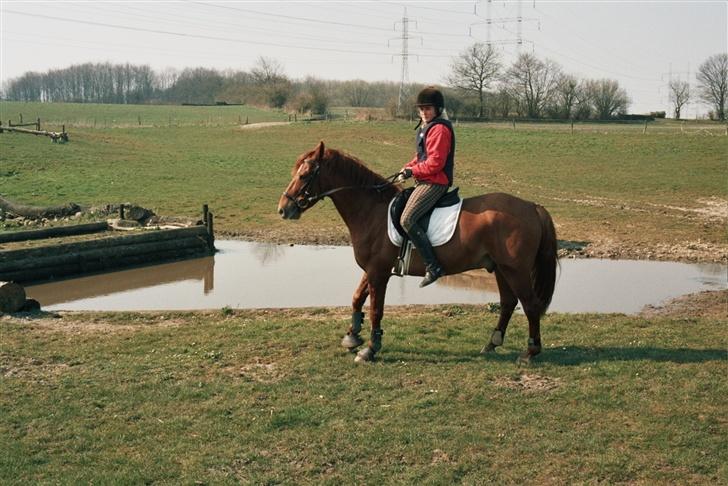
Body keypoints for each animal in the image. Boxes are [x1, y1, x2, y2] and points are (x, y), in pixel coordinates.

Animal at [278, 140, 556, 364]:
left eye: (305, 175)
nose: (283, 209)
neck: (372, 211)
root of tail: (533, 206)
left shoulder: (379, 272)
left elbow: (376, 309)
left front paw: (370, 348)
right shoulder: (373, 269)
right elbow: (357, 298)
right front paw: (352, 336)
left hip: (516, 270)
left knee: (530, 305)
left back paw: (530, 352)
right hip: (500, 268)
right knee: (508, 303)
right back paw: (491, 344)